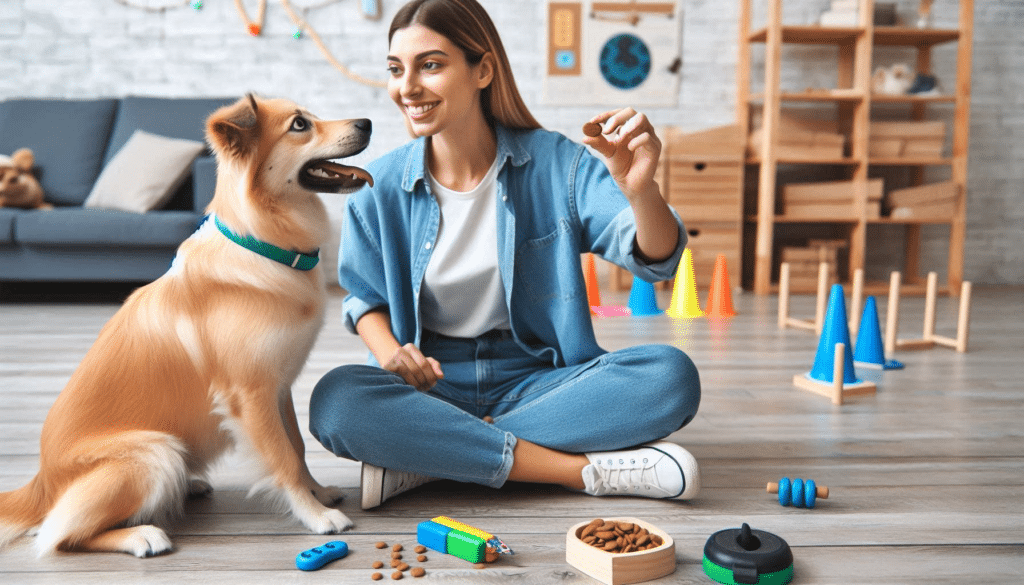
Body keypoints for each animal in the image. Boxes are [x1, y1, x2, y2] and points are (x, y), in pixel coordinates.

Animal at [0, 96, 374, 557]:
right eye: (300, 125)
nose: (368, 122)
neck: (264, 246)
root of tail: (41, 485)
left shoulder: (279, 386)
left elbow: (297, 446)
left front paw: (318, 492)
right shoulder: (250, 394)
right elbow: (283, 458)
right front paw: (316, 515)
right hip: (154, 451)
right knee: (59, 534)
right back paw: (142, 535)